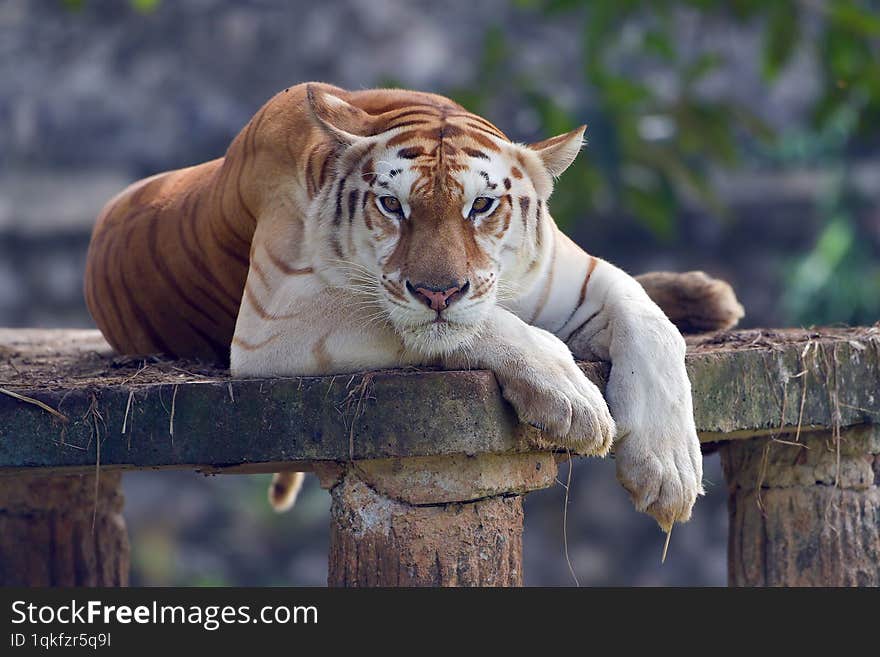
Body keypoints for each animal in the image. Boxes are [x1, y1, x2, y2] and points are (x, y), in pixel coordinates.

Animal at [84, 84, 744, 532]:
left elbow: (650, 323)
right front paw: (573, 400)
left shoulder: (579, 276)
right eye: (391, 206)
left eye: (482, 205)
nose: (437, 292)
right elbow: (470, 324)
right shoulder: (277, 321)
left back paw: (710, 298)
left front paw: (669, 469)